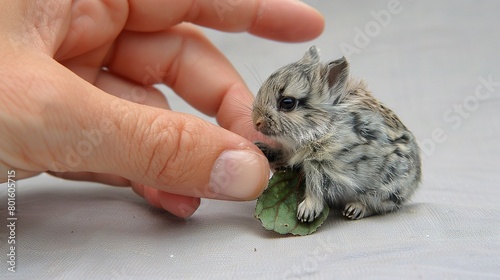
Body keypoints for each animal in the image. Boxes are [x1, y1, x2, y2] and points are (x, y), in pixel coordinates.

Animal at [252, 46, 420, 223]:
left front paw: (306, 212)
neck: (323, 126)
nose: (256, 122)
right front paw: (262, 148)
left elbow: (315, 187)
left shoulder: (320, 164)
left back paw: (353, 210)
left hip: (386, 189)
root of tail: (414, 181)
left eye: (287, 103)